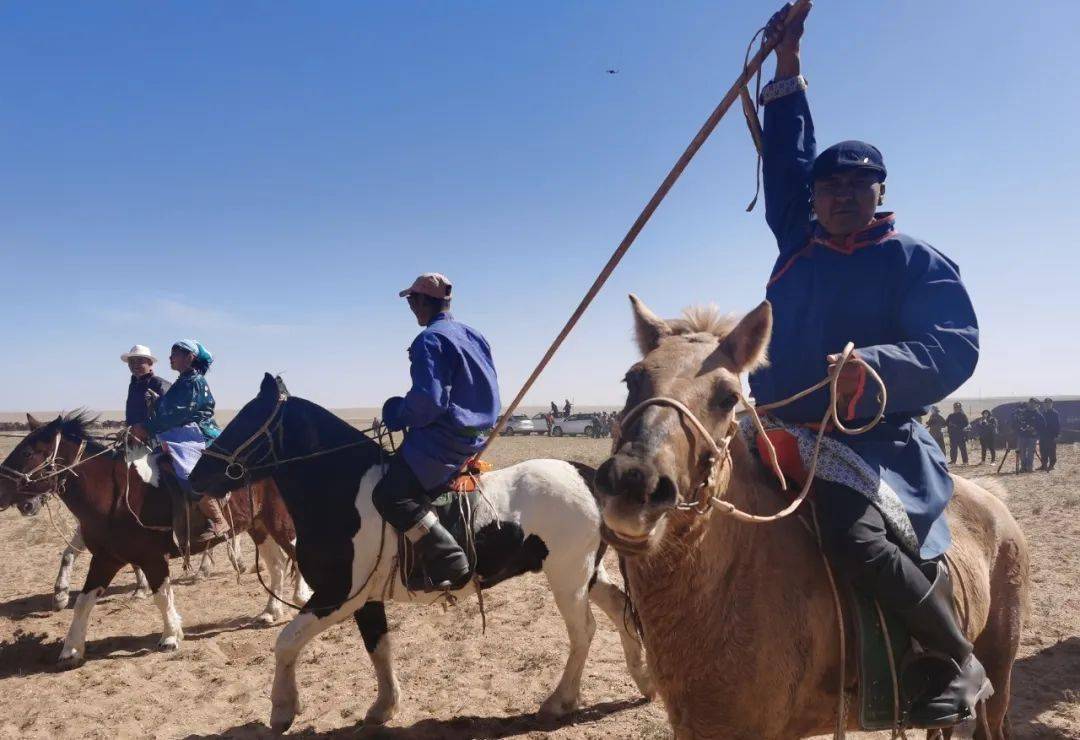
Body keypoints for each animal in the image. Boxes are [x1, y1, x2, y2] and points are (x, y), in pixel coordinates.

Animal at [1, 412, 313, 665]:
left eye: (27, 452)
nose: (9, 496)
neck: (114, 495)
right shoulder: (105, 558)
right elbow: (83, 602)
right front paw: (71, 649)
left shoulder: (152, 557)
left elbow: (162, 596)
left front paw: (170, 637)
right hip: (258, 525)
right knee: (276, 564)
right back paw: (271, 611)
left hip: (278, 521)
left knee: (296, 553)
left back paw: (301, 598)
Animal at [190, 375, 652, 734]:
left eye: (246, 420)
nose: (195, 477)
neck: (342, 489)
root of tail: (584, 473)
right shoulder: (365, 600)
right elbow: (379, 648)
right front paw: (383, 707)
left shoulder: (338, 596)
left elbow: (286, 642)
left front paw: (283, 709)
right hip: (589, 573)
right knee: (621, 609)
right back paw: (642, 677)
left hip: (567, 576)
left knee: (584, 632)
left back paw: (561, 701)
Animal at [596, 293, 1032, 738]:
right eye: (633, 380)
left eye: (728, 397)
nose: (634, 482)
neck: (736, 578)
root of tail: (995, 501)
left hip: (999, 670)